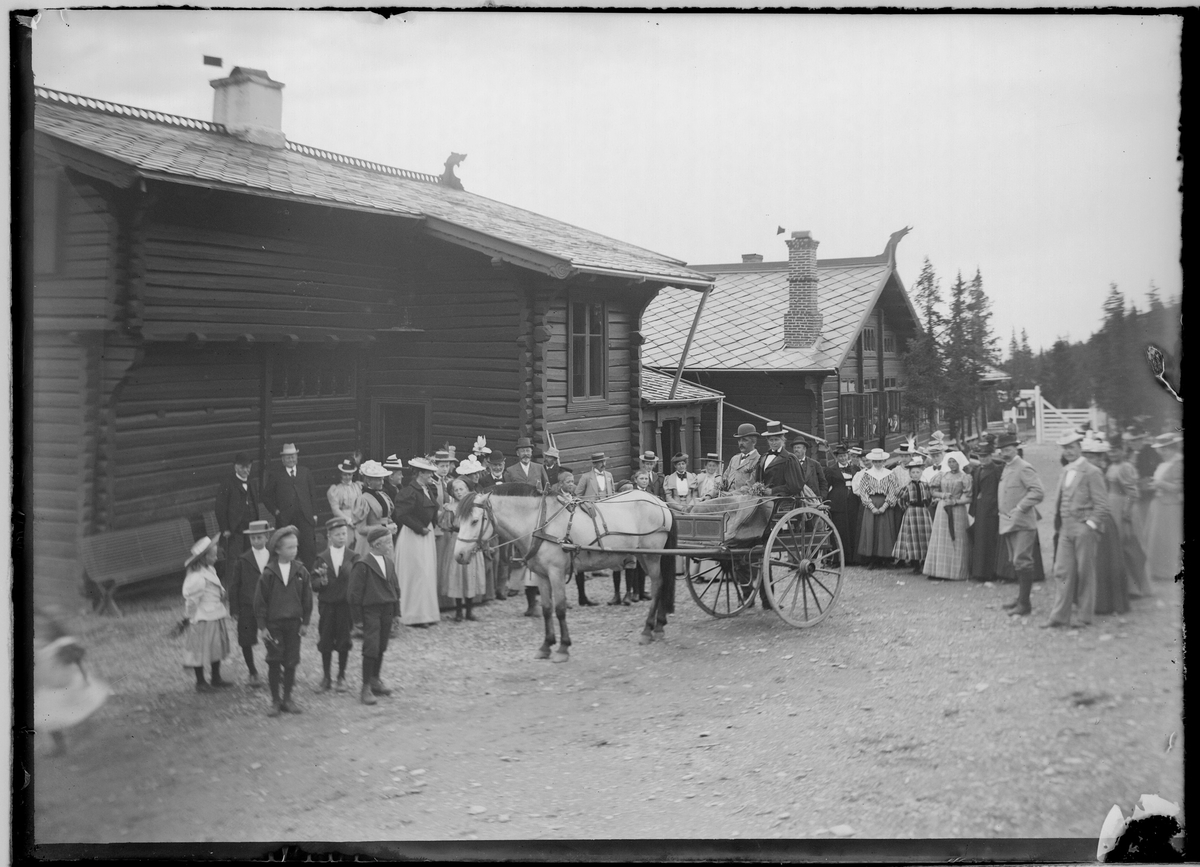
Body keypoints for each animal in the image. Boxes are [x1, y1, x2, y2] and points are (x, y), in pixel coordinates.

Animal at [453, 480, 676, 662]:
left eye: (474, 521)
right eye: (458, 521)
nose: (459, 555)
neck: (540, 523)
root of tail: (658, 501)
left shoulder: (556, 572)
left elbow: (559, 609)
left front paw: (563, 648)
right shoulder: (541, 575)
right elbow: (546, 609)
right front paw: (546, 645)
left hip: (651, 555)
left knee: (658, 584)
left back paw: (648, 629)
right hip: (643, 555)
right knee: (661, 583)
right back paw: (659, 626)